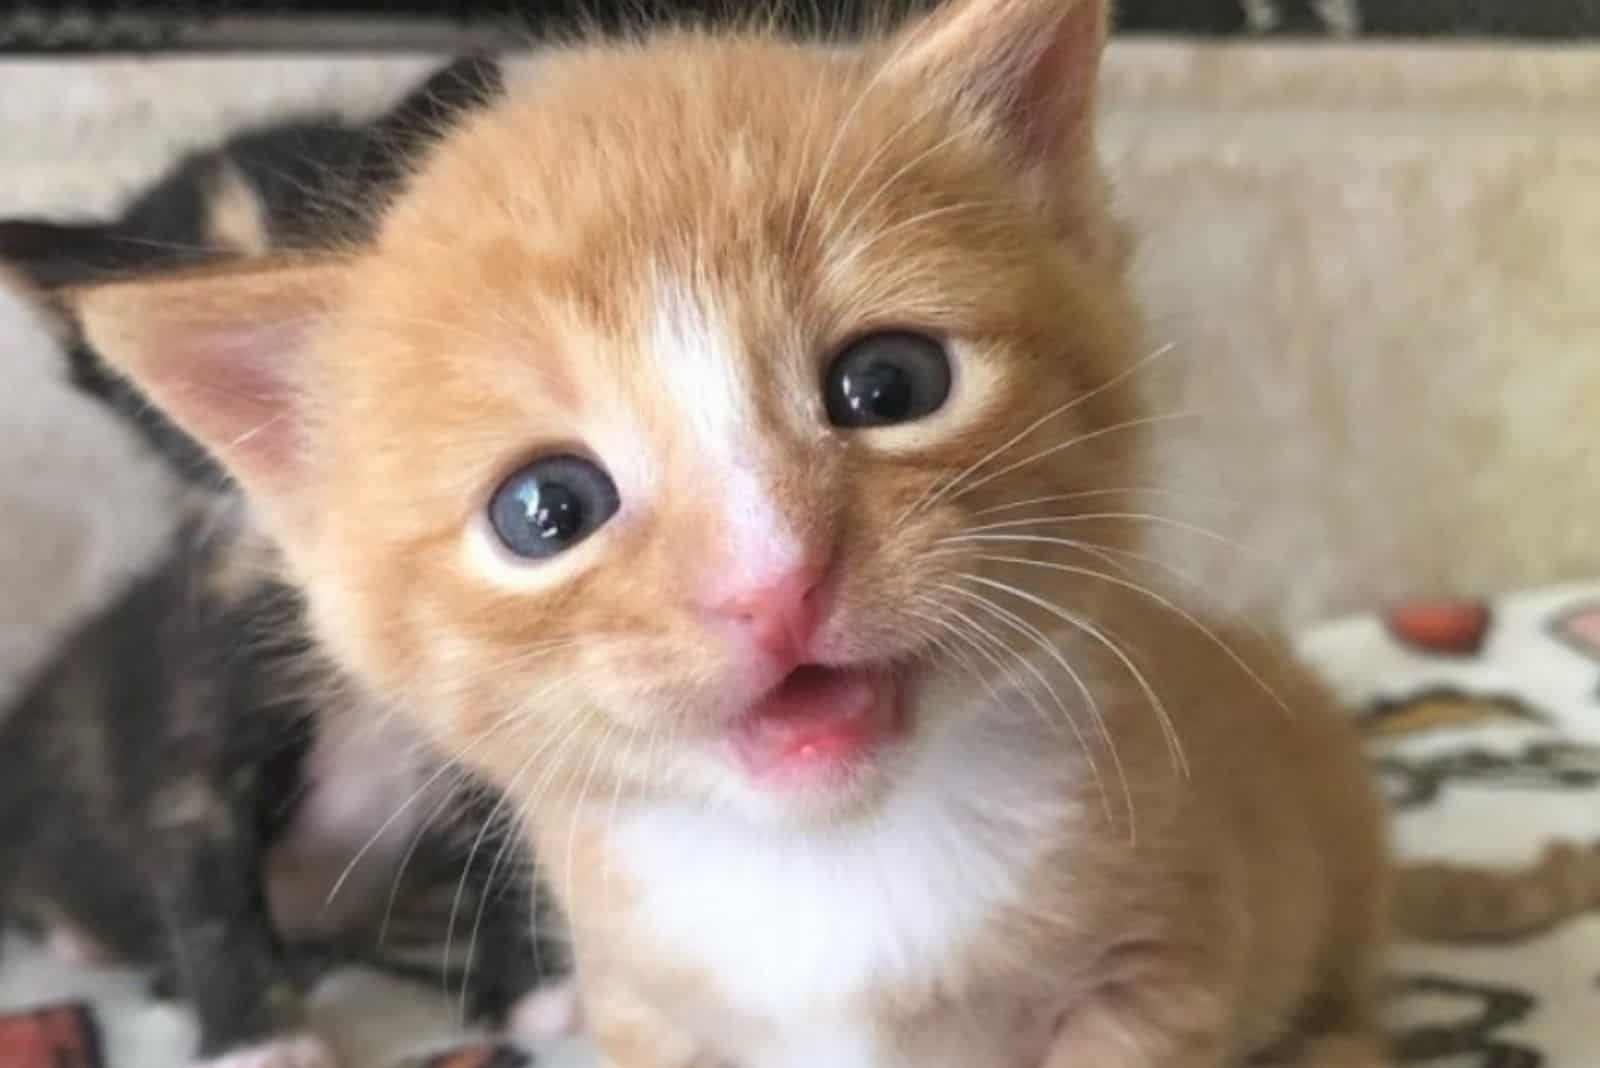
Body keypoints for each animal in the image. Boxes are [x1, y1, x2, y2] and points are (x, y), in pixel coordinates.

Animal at [81, 2, 1395, 1068]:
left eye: (889, 383)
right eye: (544, 510)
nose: (775, 582)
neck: (829, 866)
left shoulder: (1160, 965)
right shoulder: (640, 999)